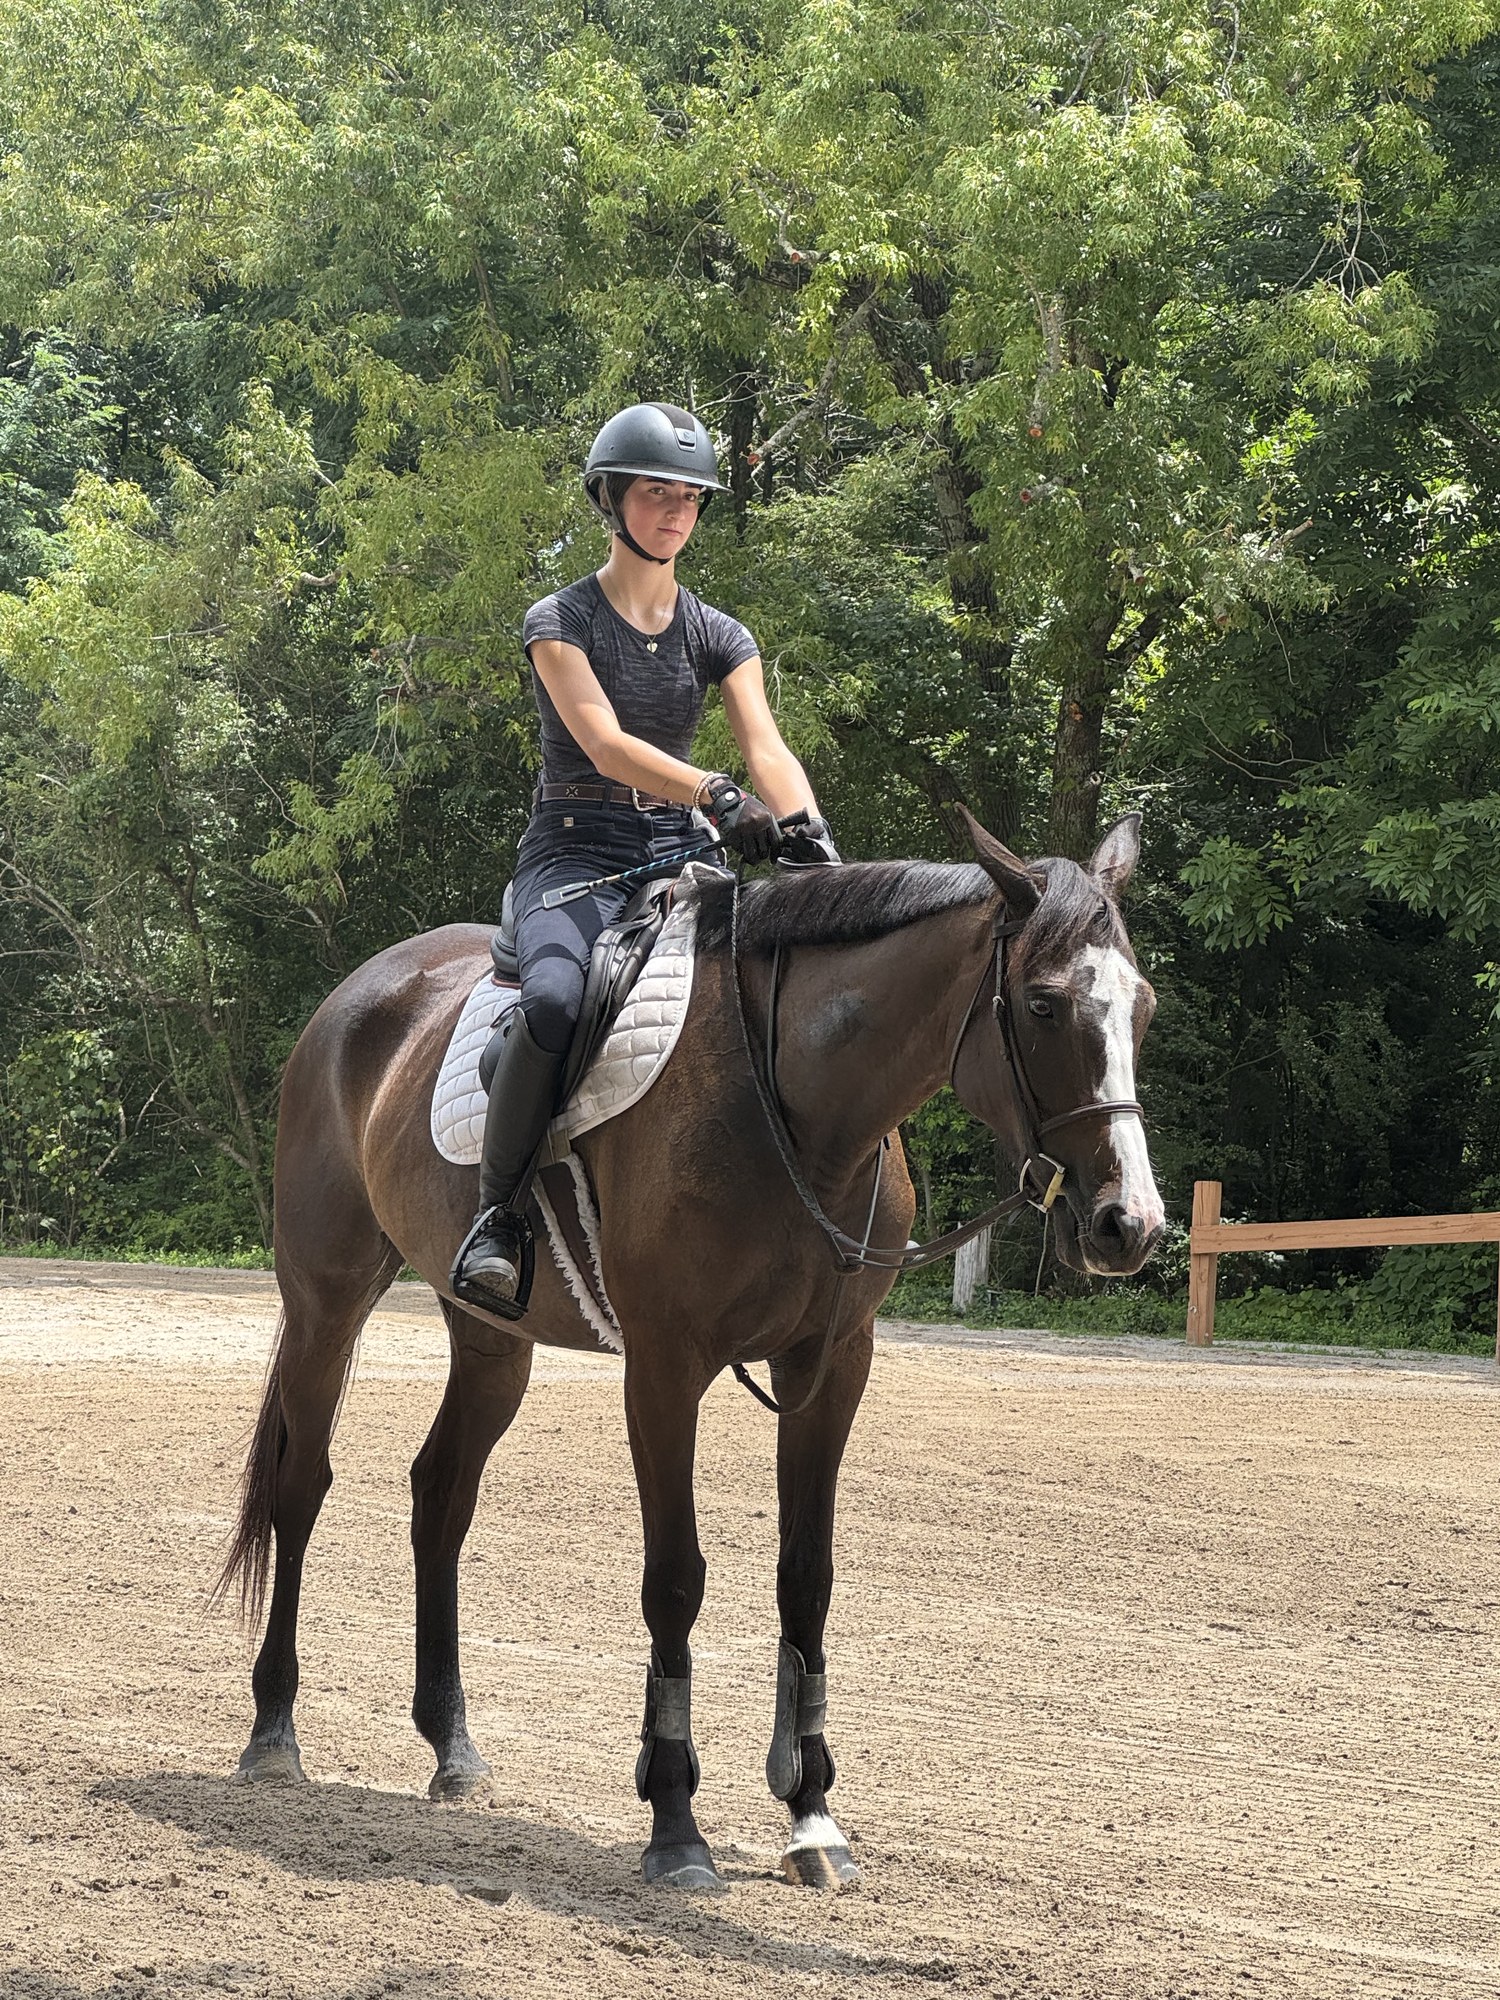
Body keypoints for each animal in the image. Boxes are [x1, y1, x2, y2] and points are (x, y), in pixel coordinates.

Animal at [217, 807, 1164, 1891]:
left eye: (1141, 1007)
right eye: (1044, 1005)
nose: (1128, 1223)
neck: (795, 1108)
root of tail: (359, 994)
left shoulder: (832, 1364)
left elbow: (807, 1577)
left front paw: (811, 1811)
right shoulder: (666, 1365)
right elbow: (675, 1575)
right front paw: (675, 1819)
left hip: (492, 1340)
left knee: (441, 1493)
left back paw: (452, 1746)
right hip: (325, 1296)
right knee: (302, 1484)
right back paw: (273, 1729)